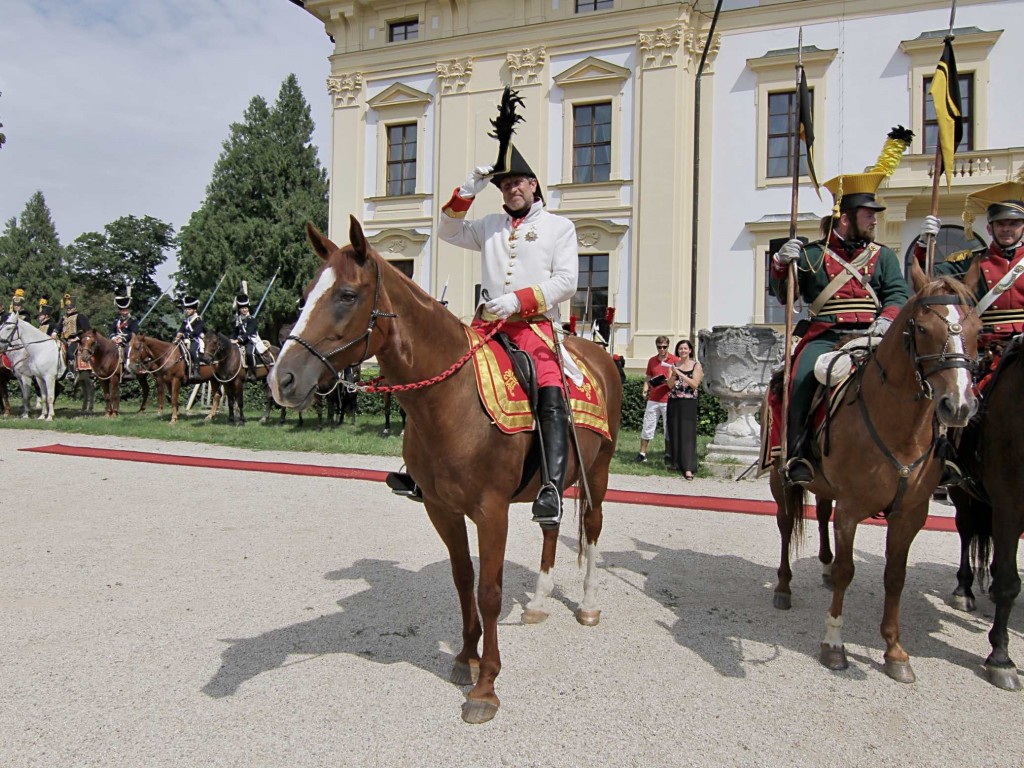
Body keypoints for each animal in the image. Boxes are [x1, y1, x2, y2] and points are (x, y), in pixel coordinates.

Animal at [270, 219, 622, 724]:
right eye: (305, 293)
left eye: (347, 295)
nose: (282, 380)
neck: (450, 401)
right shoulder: (441, 509)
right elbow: (462, 582)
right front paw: (465, 658)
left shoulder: (492, 512)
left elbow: (489, 591)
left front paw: (486, 685)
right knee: (551, 526)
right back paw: (538, 601)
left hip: (600, 469)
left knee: (591, 528)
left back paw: (589, 604)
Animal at [770, 264, 978, 684]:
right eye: (922, 328)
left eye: (977, 328)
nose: (959, 405)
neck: (900, 427)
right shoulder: (852, 509)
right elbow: (848, 570)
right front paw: (834, 644)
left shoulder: (911, 514)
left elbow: (895, 576)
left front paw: (895, 650)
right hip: (779, 479)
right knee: (785, 526)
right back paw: (784, 586)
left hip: (825, 485)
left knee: (821, 513)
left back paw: (823, 566)